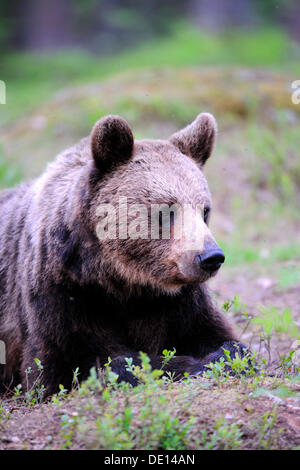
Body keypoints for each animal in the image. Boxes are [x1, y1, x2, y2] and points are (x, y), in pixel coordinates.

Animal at [0, 112, 248, 394]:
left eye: (204, 210)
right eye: (166, 211)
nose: (210, 257)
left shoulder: (180, 303)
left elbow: (221, 337)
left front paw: (220, 355)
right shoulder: (61, 292)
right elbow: (65, 365)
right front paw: (184, 363)